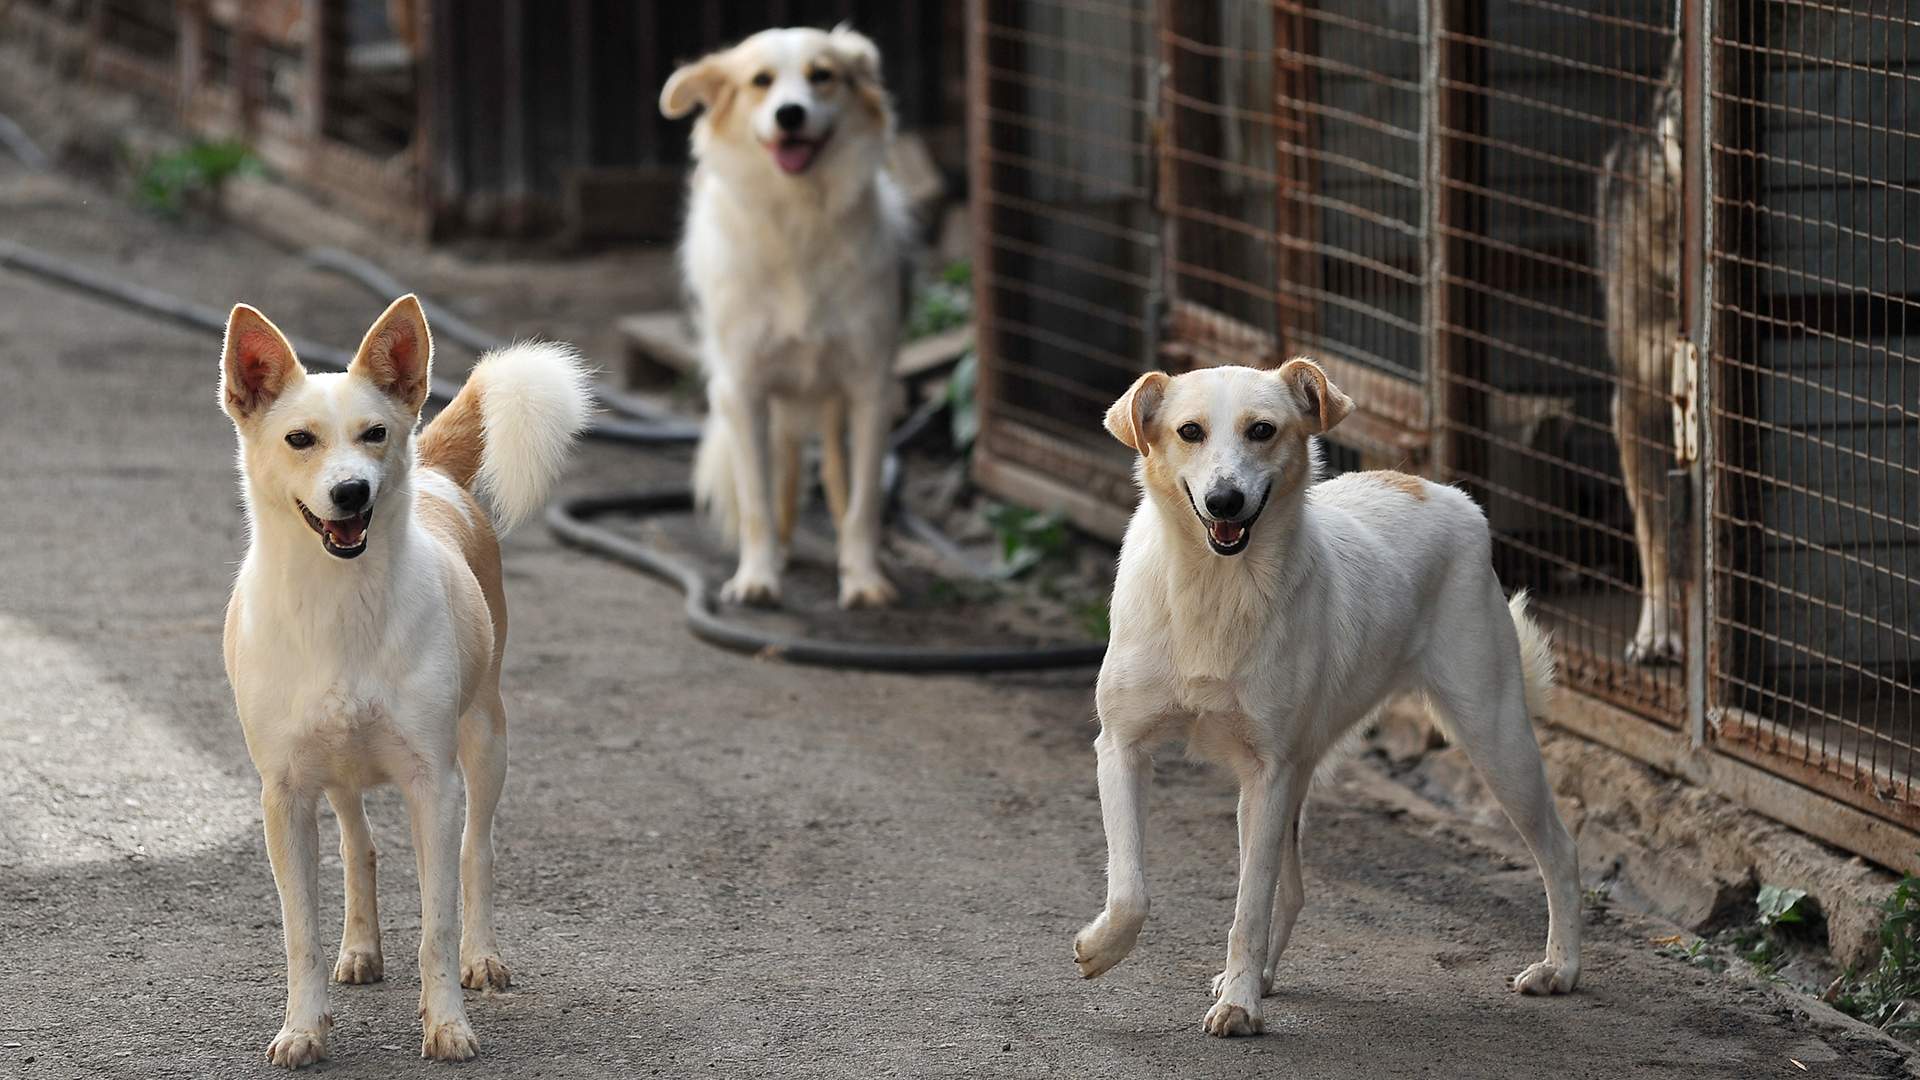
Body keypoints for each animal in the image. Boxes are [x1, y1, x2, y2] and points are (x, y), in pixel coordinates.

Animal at [219, 292, 587, 1060]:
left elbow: (437, 924)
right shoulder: (284, 795)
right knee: (359, 846)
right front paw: (304, 1027)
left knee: (478, 852)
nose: (351, 491)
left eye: (375, 433)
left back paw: (483, 956)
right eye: (299, 439)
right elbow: (300, 932)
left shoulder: (432, 785)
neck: (339, 601)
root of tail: (442, 475)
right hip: (338, 773)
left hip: (487, 739)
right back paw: (360, 949)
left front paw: (447, 1022)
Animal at [660, 25, 906, 611]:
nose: (790, 114)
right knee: (784, 469)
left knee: (835, 474)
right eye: (761, 81)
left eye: (823, 75)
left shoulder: (870, 389)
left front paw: (862, 577)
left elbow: (863, 502)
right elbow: (757, 502)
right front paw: (758, 577)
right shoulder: (743, 389)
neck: (799, 219)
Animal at [1075, 359, 1582, 1037]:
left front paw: (1239, 1005)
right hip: (1305, 771)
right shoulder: (1123, 747)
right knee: (1290, 890)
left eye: (1262, 430)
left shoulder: (1266, 774)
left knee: (1558, 848)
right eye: (1189, 431)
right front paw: (1101, 949)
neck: (1214, 587)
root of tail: (1440, 490)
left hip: (1494, 739)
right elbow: (1131, 891)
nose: (1224, 501)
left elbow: (1248, 906)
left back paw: (1560, 967)